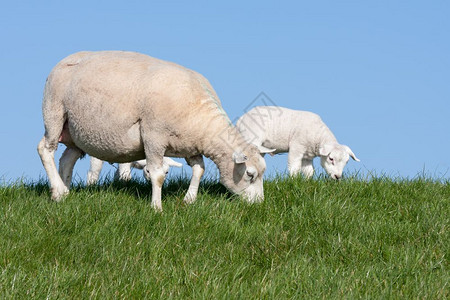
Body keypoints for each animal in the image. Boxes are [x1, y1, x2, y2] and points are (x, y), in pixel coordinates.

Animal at [37, 51, 270, 211]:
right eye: (250, 174)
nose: (259, 205)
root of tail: (67, 58)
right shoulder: (153, 137)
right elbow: (157, 175)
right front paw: (157, 208)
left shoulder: (189, 145)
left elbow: (199, 169)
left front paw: (189, 199)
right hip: (54, 112)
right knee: (45, 149)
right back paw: (57, 191)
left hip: (76, 132)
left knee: (67, 159)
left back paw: (64, 191)